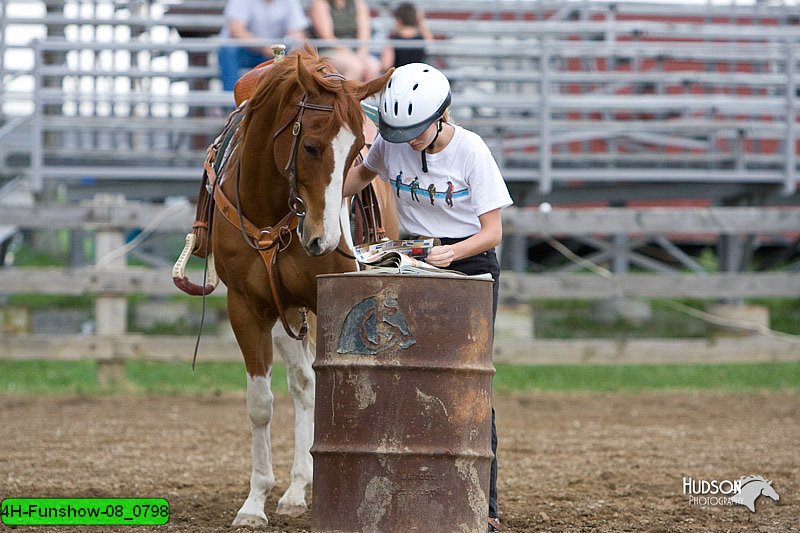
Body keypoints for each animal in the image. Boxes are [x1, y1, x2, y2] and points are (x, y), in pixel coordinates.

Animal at [206, 47, 394, 524]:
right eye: (310, 146)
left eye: (358, 151)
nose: (323, 240)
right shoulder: (247, 307)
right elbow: (261, 403)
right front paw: (255, 503)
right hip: (285, 313)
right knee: (303, 383)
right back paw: (293, 490)